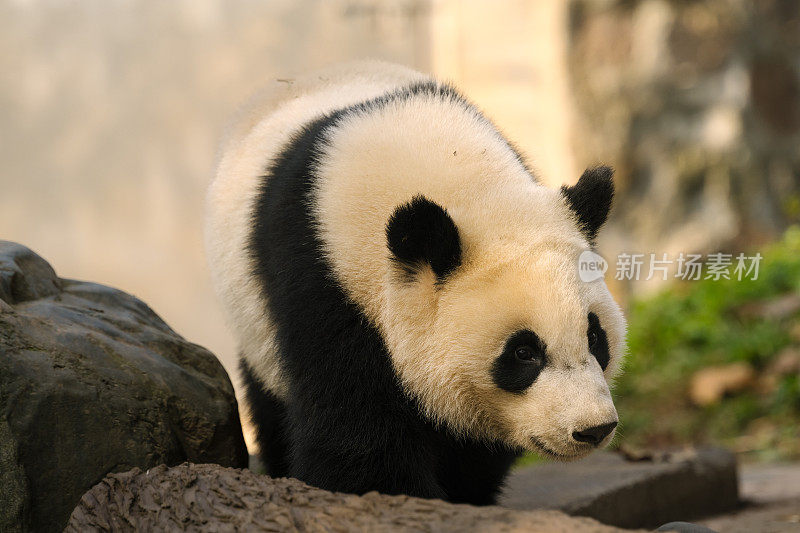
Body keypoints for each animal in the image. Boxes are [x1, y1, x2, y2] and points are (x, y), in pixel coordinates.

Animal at [205, 60, 624, 504]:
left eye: (595, 336)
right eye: (523, 352)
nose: (593, 428)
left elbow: (472, 450)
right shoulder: (325, 285)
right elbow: (355, 432)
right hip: (254, 324)